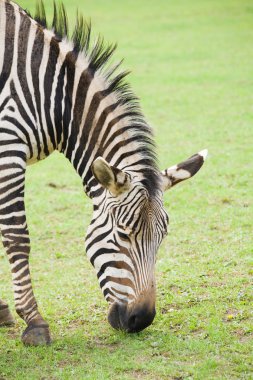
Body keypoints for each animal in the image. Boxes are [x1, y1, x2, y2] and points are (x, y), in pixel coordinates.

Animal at [0, 0, 208, 346]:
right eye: (123, 235)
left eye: (162, 237)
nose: (141, 320)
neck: (53, 96)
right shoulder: (7, 145)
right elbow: (17, 236)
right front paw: (34, 322)